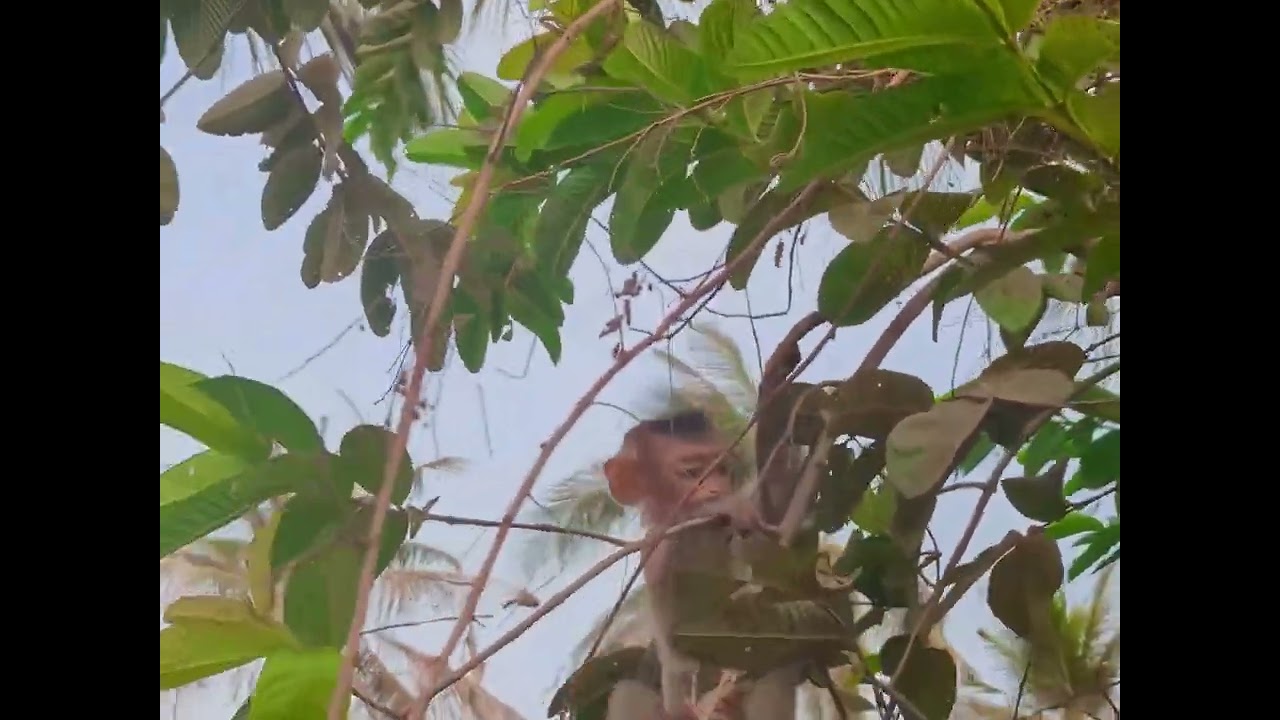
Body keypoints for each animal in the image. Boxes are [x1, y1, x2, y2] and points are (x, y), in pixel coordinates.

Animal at [601, 410, 801, 720]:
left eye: (723, 470)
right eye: (692, 473)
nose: (717, 489)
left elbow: (779, 507)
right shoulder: (656, 548)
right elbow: (681, 632)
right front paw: (722, 507)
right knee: (629, 691)